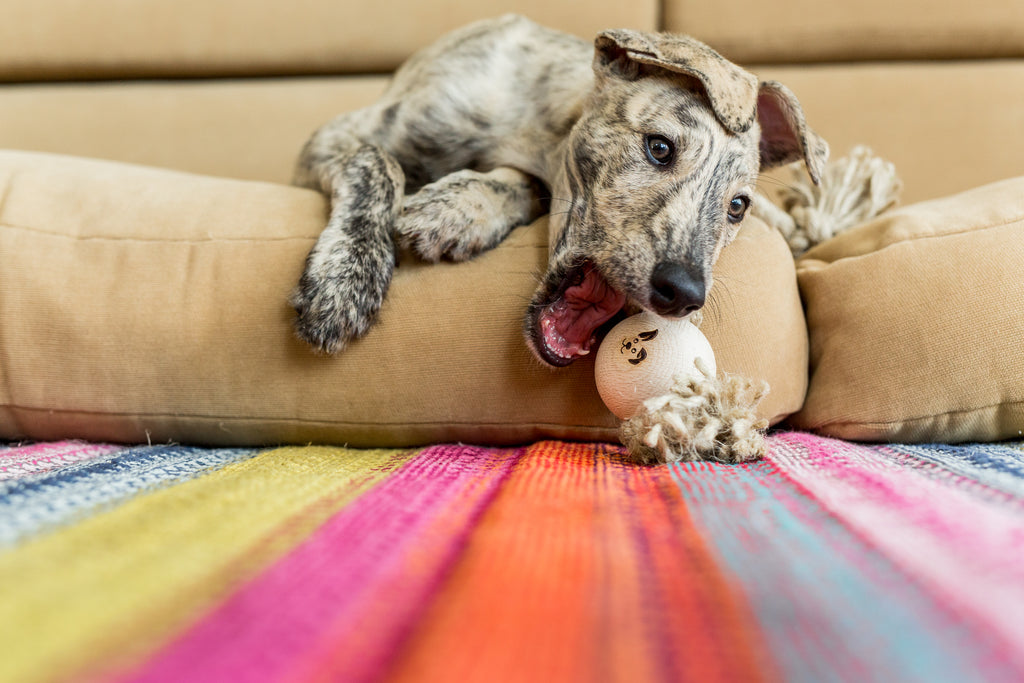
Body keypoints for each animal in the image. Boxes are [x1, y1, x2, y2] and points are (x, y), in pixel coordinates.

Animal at [286, 13, 823, 366]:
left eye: (737, 206)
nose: (683, 295)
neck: (533, 129)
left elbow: (521, 186)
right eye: (659, 148)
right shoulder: (331, 139)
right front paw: (344, 282)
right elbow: (376, 162)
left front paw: (457, 209)